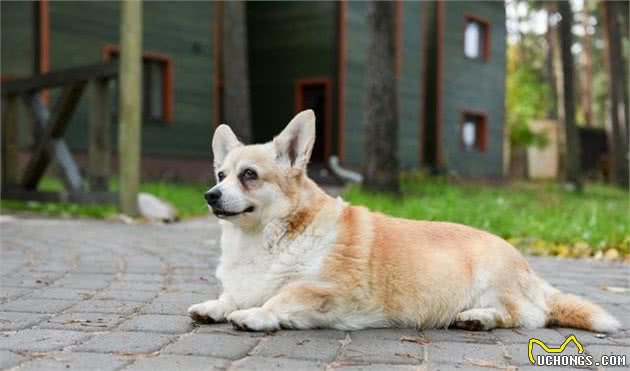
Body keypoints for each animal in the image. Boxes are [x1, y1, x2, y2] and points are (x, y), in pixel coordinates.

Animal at [188, 110, 624, 334]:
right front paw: (215, 307)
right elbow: (232, 296)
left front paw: (254, 316)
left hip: (494, 281)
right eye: (221, 175)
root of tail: (530, 269)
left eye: (249, 175)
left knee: (526, 315)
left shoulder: (325, 290)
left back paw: (479, 318)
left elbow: (281, 298)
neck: (261, 240)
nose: (210, 196)